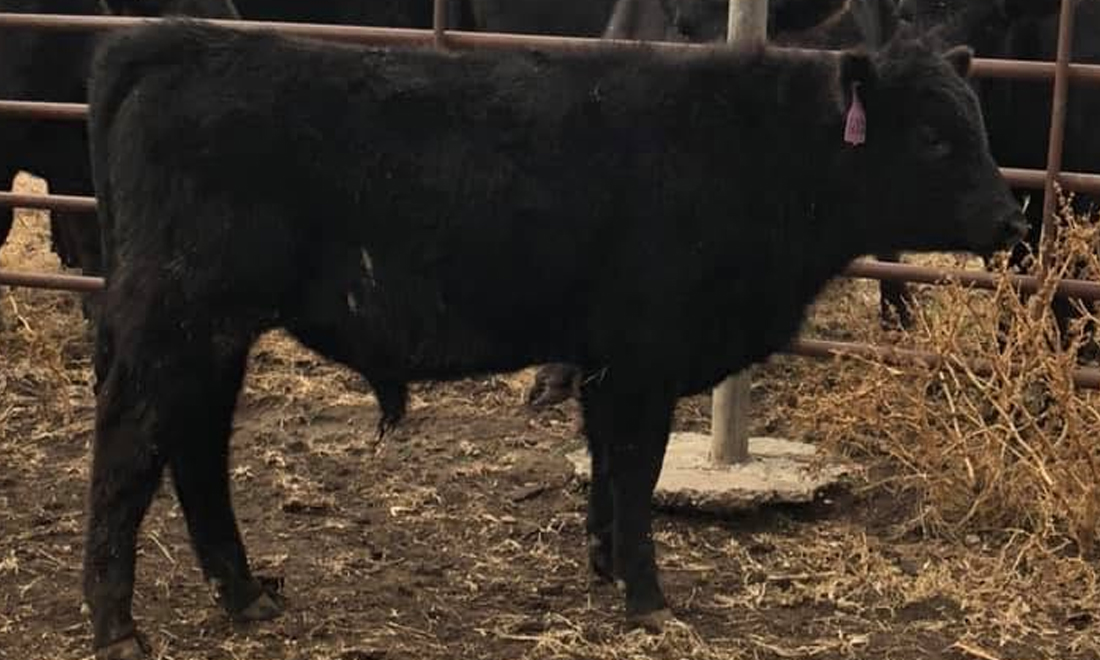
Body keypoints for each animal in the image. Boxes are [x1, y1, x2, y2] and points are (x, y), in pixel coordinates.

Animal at [80, 10, 1025, 656]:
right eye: (933, 138)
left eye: (979, 125)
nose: (1010, 220)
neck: (755, 152)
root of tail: (182, 41)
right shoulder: (646, 354)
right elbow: (636, 471)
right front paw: (649, 597)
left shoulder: (607, 358)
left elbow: (608, 467)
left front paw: (607, 566)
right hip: (179, 322)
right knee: (131, 450)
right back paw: (117, 624)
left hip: (214, 334)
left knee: (195, 451)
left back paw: (244, 594)